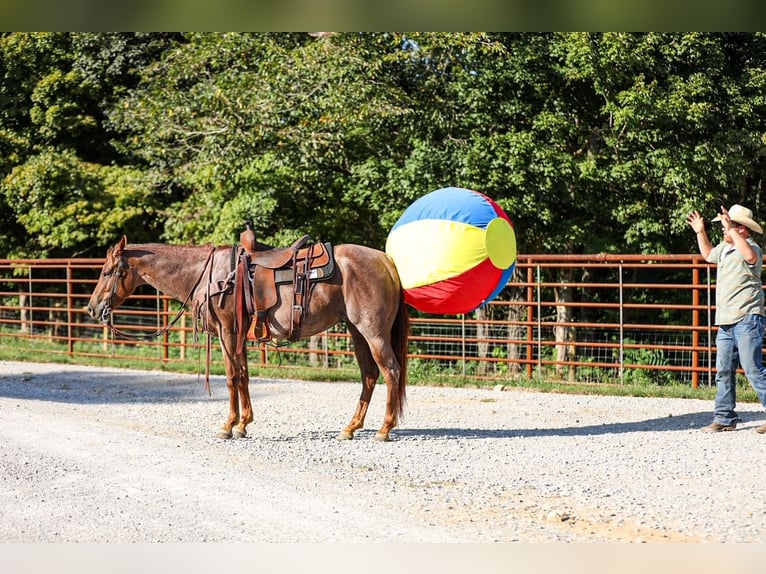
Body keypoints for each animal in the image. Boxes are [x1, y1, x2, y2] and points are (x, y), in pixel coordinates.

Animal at [86, 235, 409, 441]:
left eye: (107, 272)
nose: (92, 308)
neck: (209, 276)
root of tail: (386, 260)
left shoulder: (227, 332)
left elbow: (231, 377)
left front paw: (228, 426)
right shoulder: (238, 334)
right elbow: (243, 375)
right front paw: (243, 424)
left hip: (373, 332)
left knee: (391, 371)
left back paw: (384, 430)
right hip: (356, 332)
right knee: (369, 375)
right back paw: (350, 428)